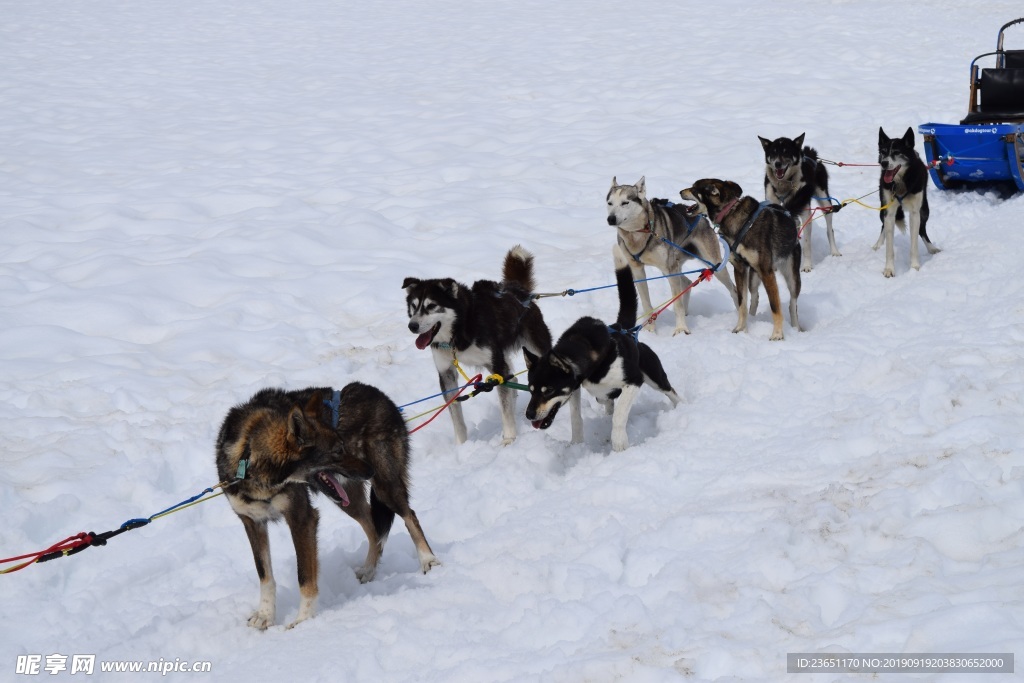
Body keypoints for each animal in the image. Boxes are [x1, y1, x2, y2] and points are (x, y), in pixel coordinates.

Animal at [214, 382, 438, 626]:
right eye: (338, 451)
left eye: (343, 446)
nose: (370, 470)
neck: (250, 455)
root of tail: (381, 395)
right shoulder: (252, 522)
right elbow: (265, 575)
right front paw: (265, 615)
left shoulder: (302, 519)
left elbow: (304, 575)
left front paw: (303, 621)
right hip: (348, 502)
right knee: (374, 531)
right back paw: (369, 570)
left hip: (385, 488)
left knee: (409, 516)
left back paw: (428, 560)